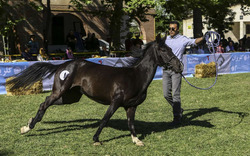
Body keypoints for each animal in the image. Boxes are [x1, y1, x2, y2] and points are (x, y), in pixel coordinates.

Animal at [6, 37, 183, 145]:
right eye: (164, 50)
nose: (179, 66)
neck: (135, 76)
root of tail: (62, 65)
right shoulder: (115, 102)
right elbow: (105, 119)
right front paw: (96, 139)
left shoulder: (131, 106)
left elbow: (131, 123)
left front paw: (137, 140)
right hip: (60, 91)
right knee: (45, 104)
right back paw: (27, 128)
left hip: (71, 97)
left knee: (45, 103)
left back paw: (28, 123)